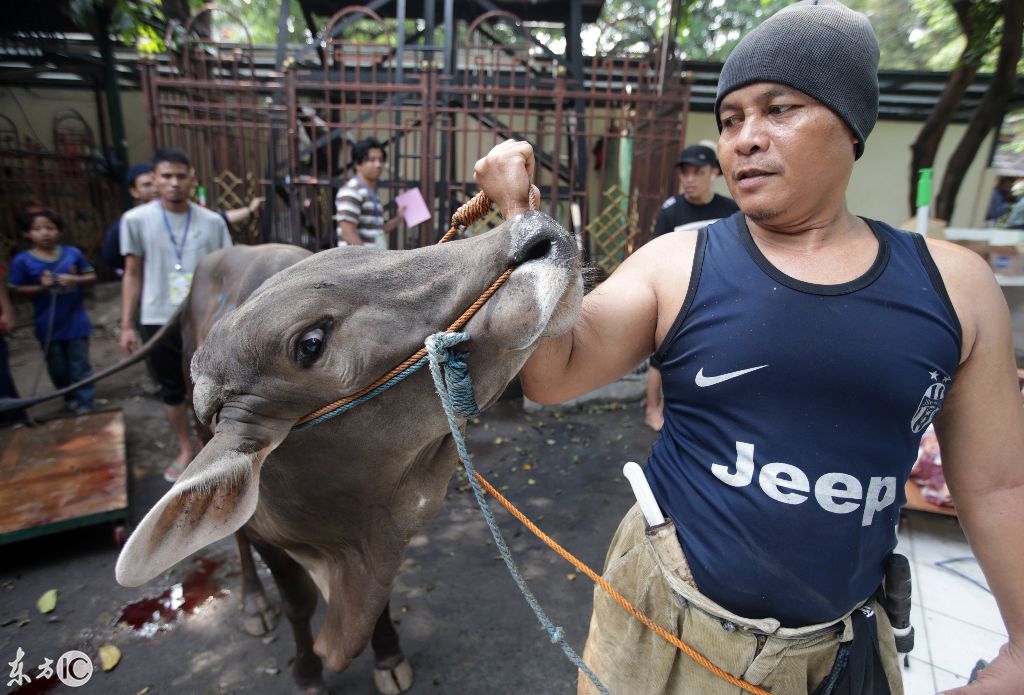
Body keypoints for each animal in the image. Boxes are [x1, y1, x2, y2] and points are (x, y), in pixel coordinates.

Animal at [115, 211, 581, 695]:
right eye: (310, 343)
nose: (537, 231)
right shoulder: (271, 534)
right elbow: (298, 602)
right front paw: (307, 673)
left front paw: (388, 657)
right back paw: (255, 604)